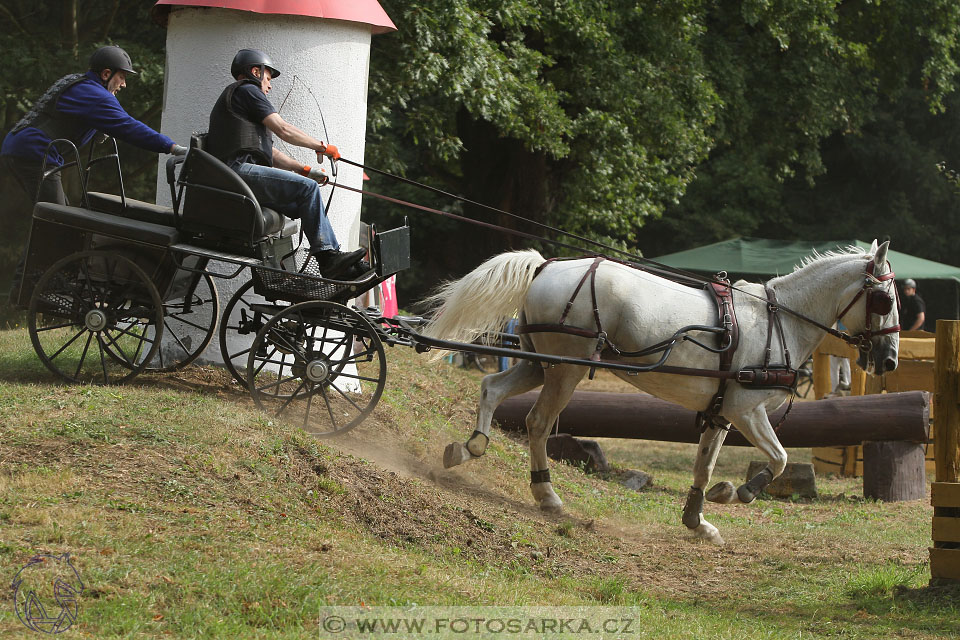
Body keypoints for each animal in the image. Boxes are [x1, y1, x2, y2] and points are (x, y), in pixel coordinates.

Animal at [428, 240, 900, 544]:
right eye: (886, 300)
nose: (890, 360)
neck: (780, 320)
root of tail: (546, 266)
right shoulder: (747, 410)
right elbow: (781, 458)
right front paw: (741, 492)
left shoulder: (721, 413)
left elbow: (704, 467)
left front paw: (698, 520)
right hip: (566, 369)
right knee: (538, 422)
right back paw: (546, 494)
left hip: (537, 362)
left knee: (491, 388)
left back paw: (471, 446)